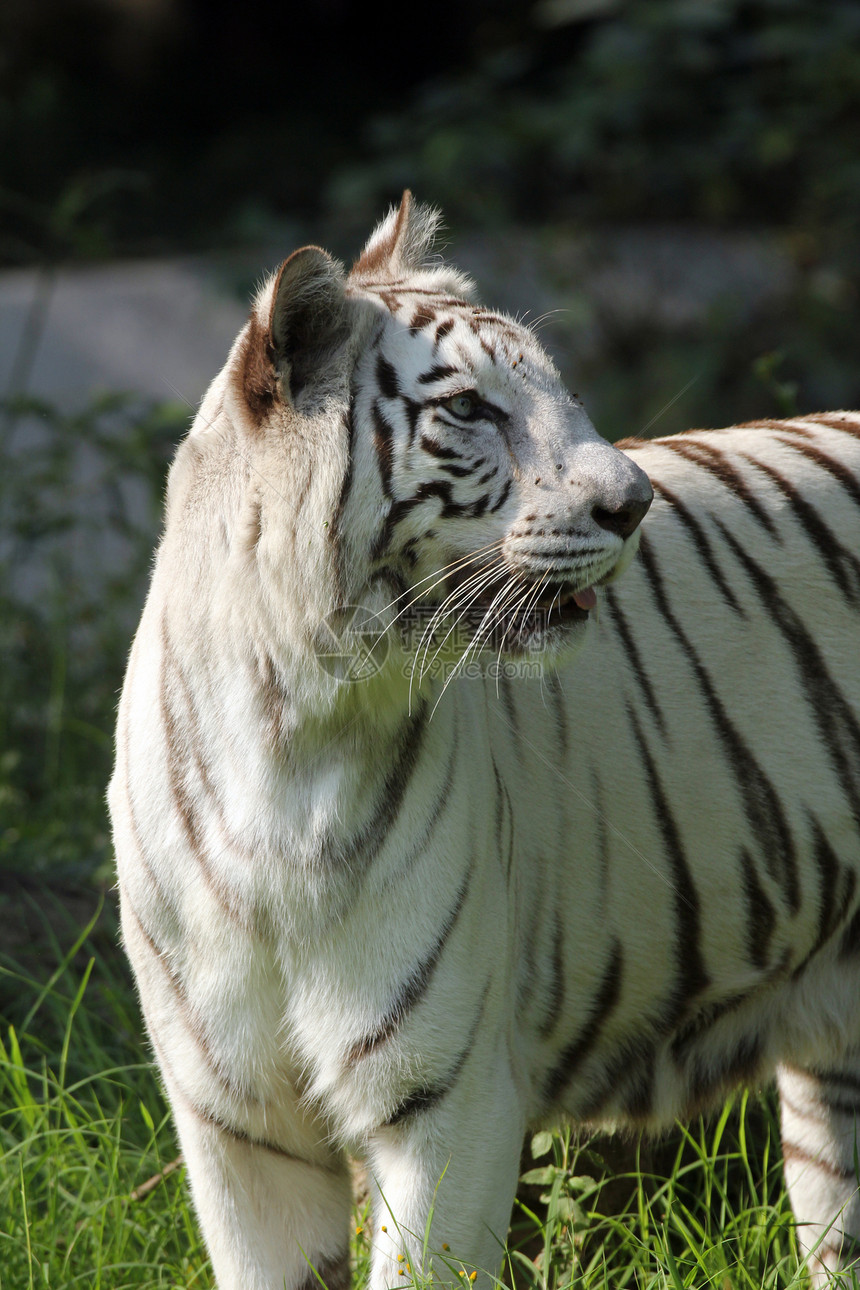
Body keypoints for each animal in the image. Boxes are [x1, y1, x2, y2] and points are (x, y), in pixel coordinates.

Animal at [107, 193, 860, 1290]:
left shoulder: (446, 1097)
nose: (632, 503)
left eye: (565, 392)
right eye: (468, 409)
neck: (291, 727)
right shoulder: (235, 1123)